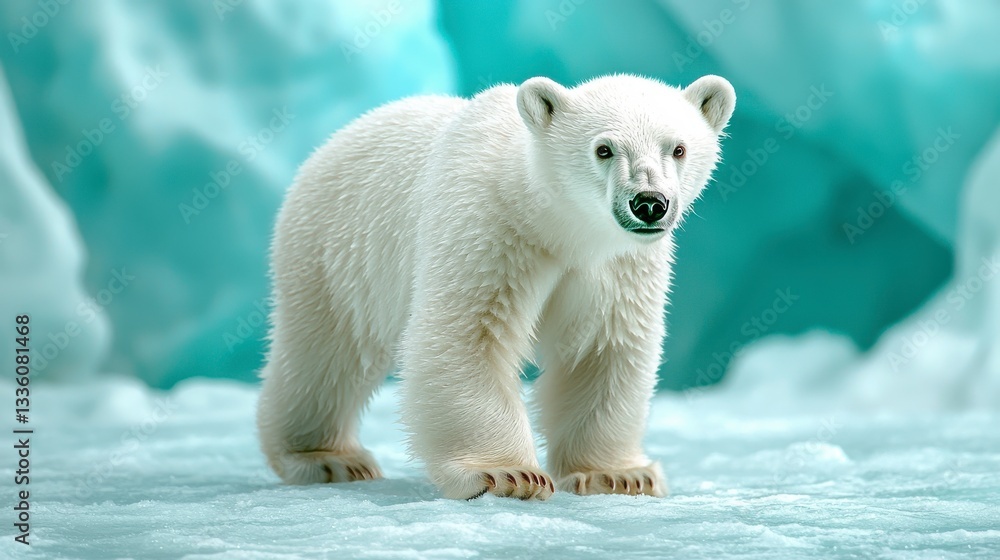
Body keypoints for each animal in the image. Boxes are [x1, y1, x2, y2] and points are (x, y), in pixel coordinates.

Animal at [256, 74, 735, 500]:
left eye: (678, 148)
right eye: (604, 149)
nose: (650, 203)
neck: (555, 223)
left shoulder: (616, 266)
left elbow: (601, 349)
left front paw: (618, 475)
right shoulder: (491, 228)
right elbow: (468, 334)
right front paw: (507, 474)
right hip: (333, 252)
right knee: (326, 354)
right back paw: (327, 458)